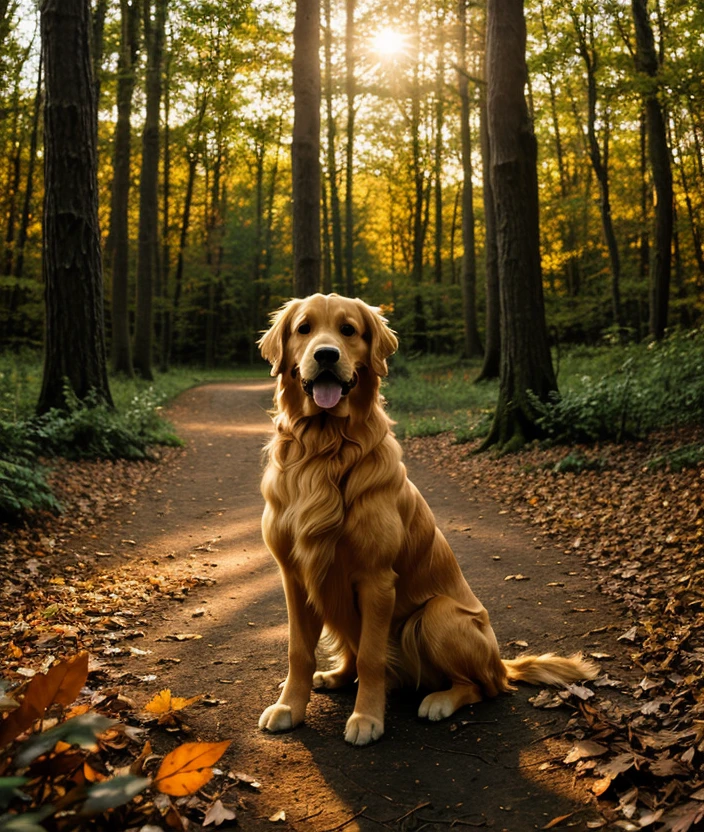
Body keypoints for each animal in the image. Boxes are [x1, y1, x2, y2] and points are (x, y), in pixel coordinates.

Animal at [256, 294, 596, 748]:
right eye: (304, 328)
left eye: (348, 330)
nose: (326, 355)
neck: (325, 449)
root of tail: (501, 661)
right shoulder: (293, 575)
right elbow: (298, 650)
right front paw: (289, 707)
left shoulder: (377, 579)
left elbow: (372, 657)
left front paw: (367, 718)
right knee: (352, 655)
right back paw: (333, 676)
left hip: (437, 615)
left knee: (484, 686)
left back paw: (440, 700)